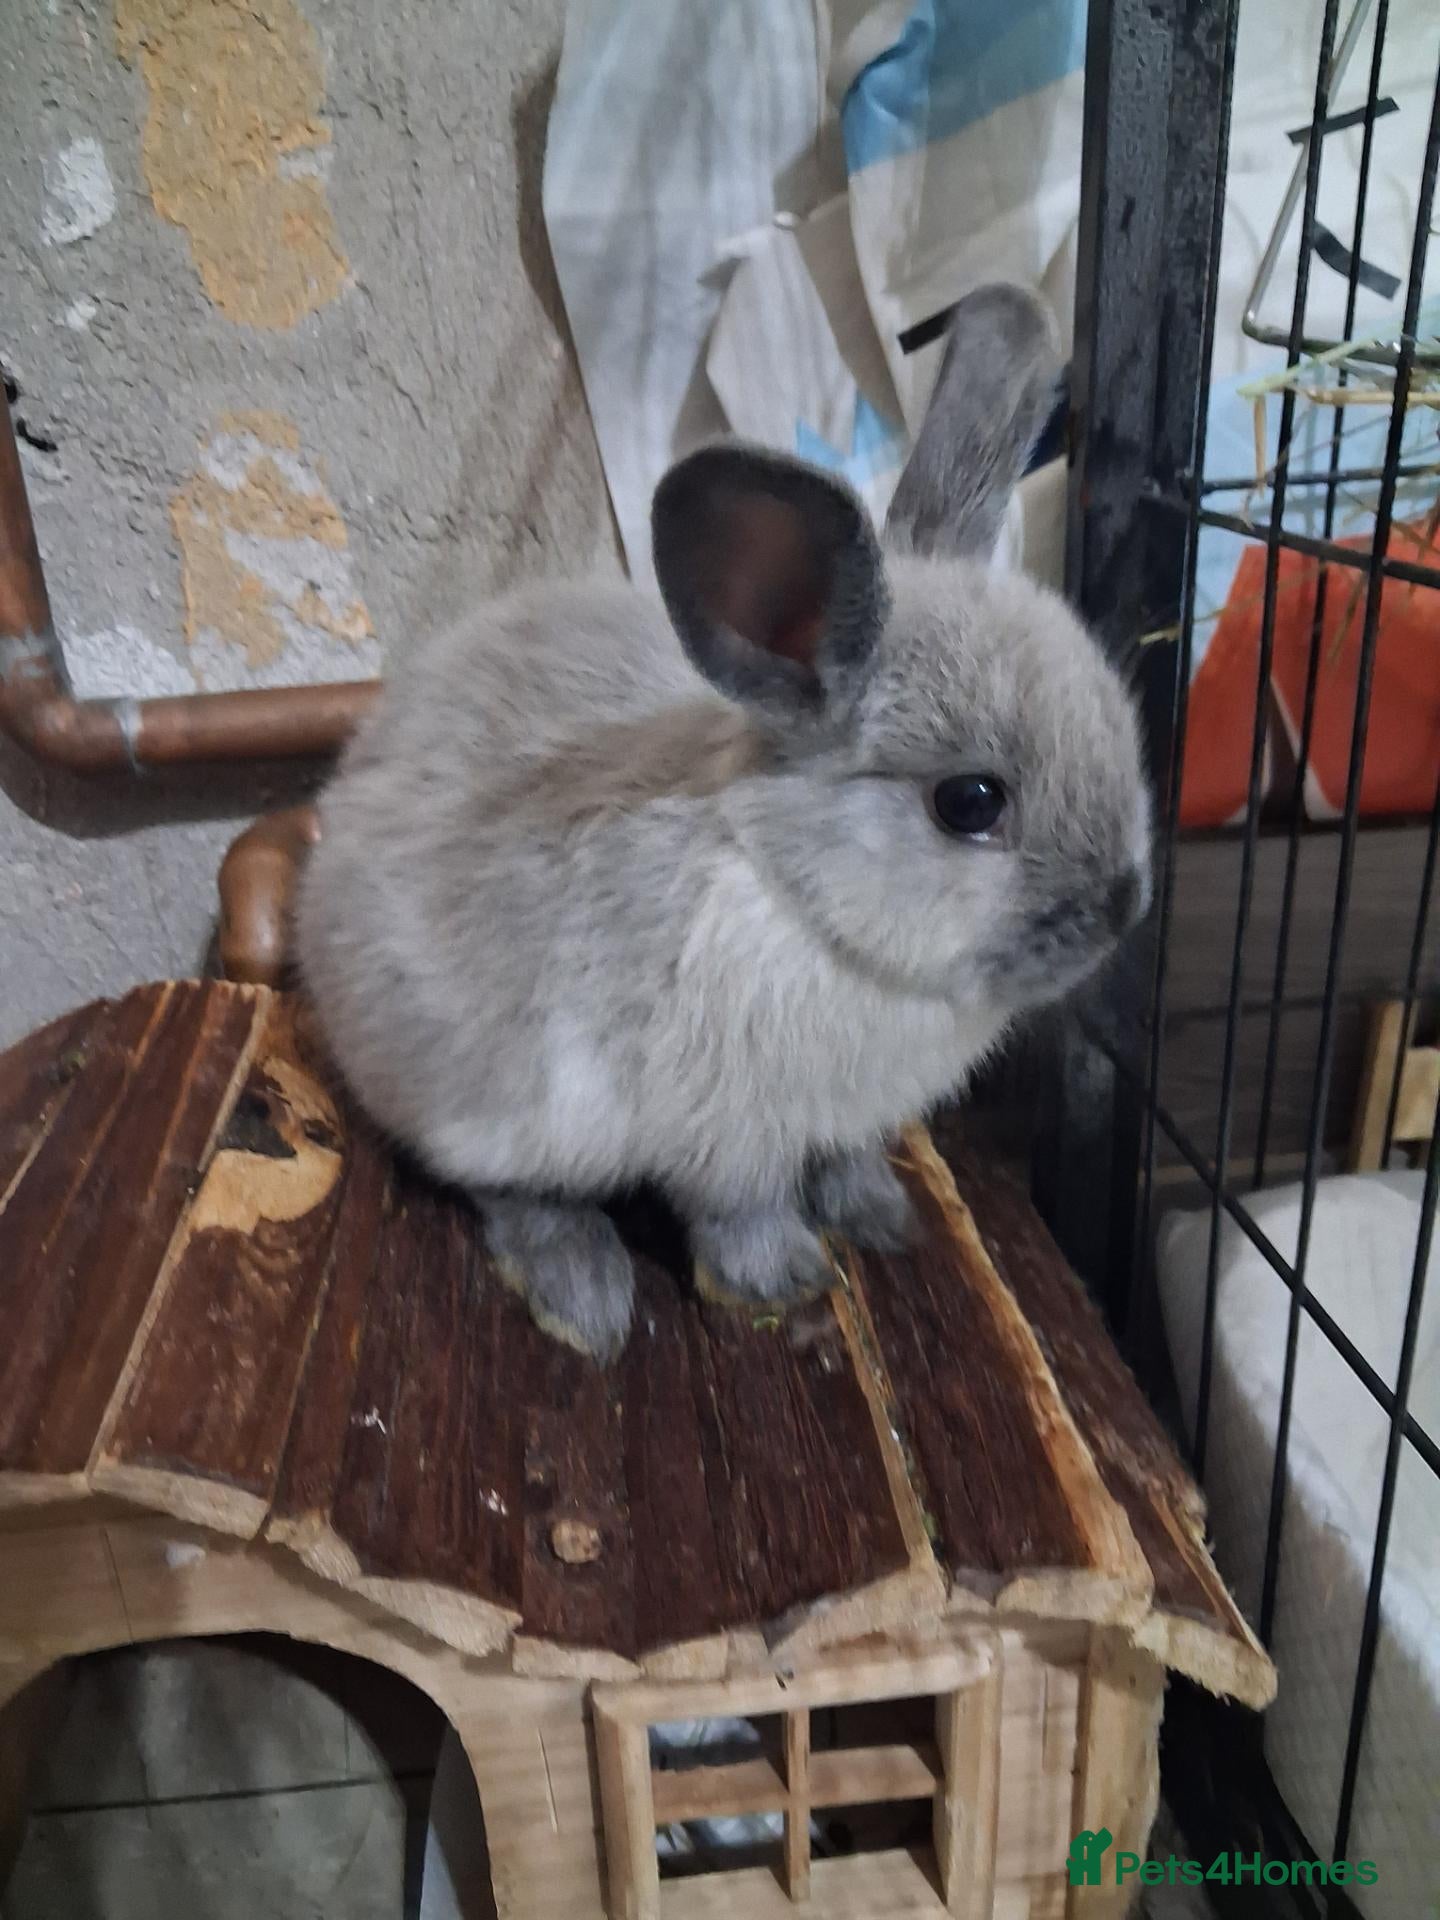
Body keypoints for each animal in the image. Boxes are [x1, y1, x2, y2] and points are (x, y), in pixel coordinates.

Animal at [297, 283, 1151, 1361]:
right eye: (971, 804)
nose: (1121, 906)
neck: (799, 898)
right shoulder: (729, 1137)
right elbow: (742, 1213)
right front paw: (784, 1283)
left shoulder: (844, 1119)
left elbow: (847, 1166)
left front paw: (884, 1221)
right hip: (487, 1099)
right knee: (501, 1188)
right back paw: (582, 1296)